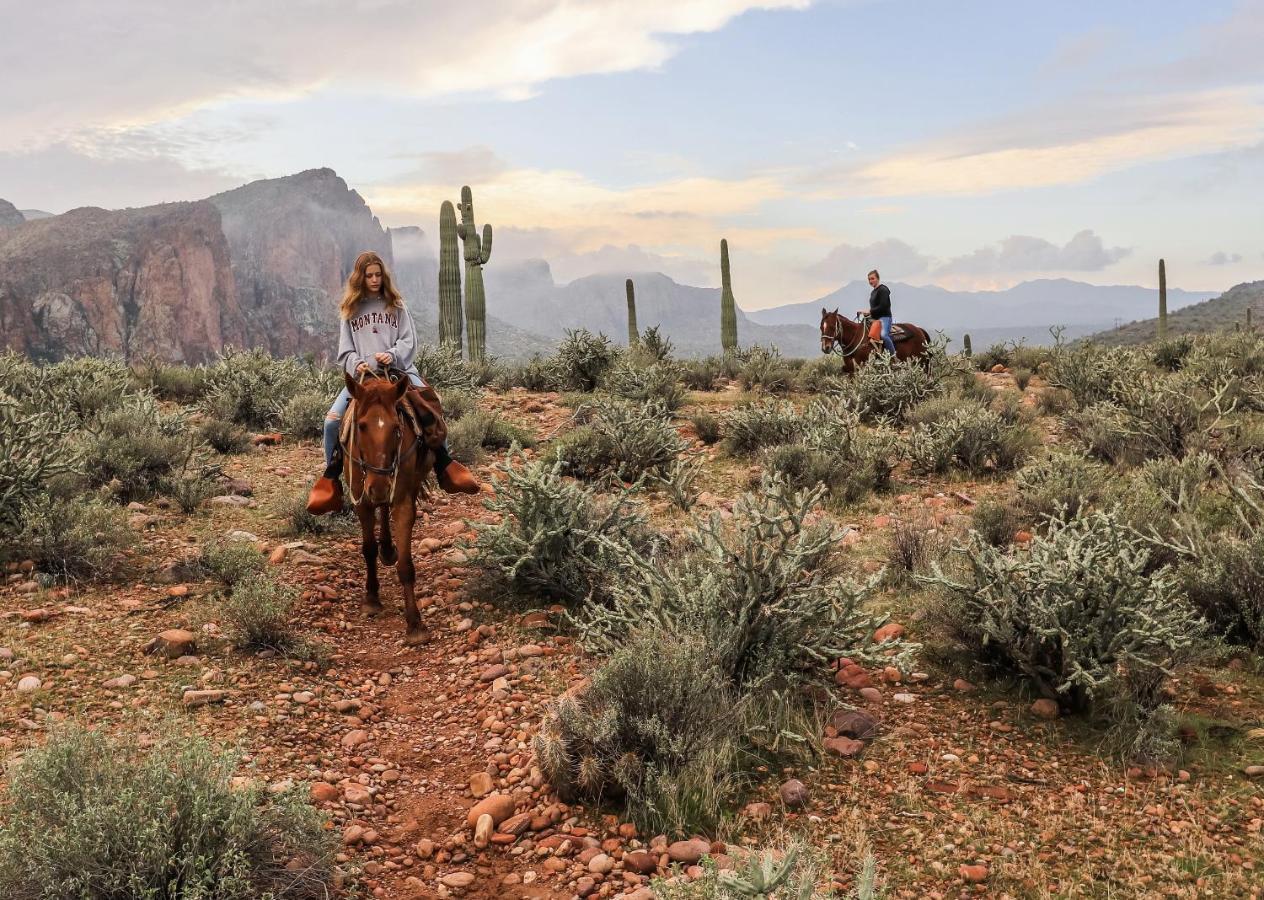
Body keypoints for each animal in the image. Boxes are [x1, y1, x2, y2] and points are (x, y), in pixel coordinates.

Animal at [341, 369, 434, 642]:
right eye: (361, 426)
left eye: (396, 427)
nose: (379, 485)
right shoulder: (361, 500)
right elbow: (368, 549)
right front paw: (371, 599)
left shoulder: (403, 501)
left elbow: (406, 565)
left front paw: (415, 625)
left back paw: (389, 548)